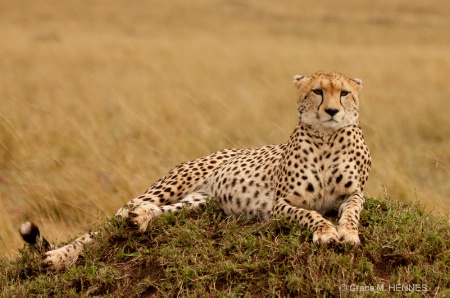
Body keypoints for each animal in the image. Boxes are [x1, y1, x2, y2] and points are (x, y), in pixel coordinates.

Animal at [20, 71, 372, 272]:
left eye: (344, 93)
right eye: (317, 91)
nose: (332, 110)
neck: (326, 139)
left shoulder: (354, 194)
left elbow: (353, 210)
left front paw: (348, 233)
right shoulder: (281, 204)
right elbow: (309, 214)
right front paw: (326, 231)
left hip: (200, 201)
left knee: (149, 212)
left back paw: (140, 220)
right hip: (167, 188)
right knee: (107, 223)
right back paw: (59, 257)